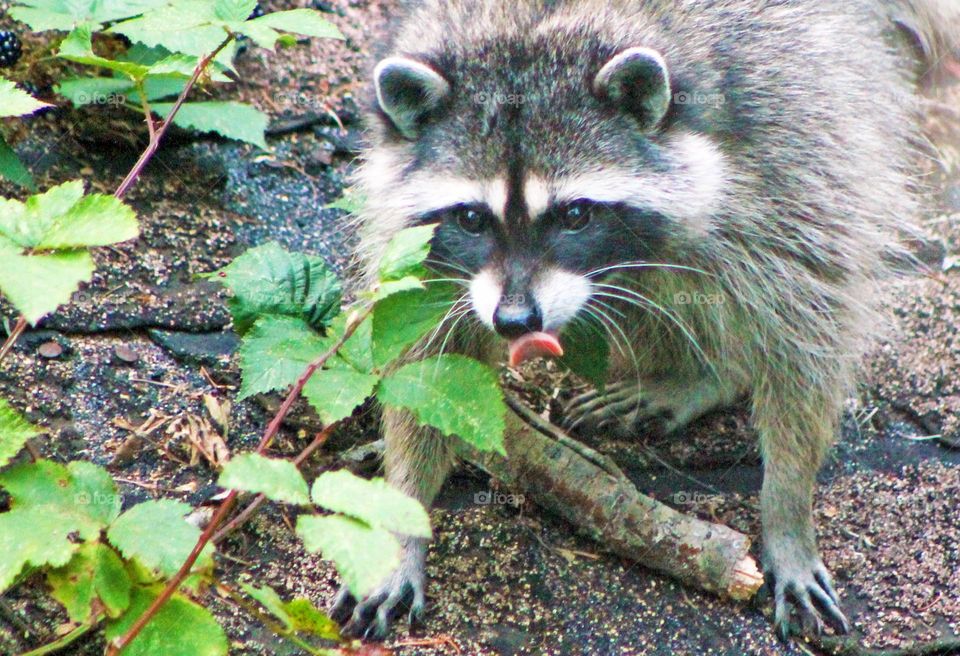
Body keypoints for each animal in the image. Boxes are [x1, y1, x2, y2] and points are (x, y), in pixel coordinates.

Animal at [332, 0, 960, 640]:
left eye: (575, 214)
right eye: (471, 217)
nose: (514, 320)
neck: (537, 27)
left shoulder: (788, 148)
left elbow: (806, 332)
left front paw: (787, 510)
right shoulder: (419, 251)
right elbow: (432, 371)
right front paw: (401, 516)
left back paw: (710, 376)